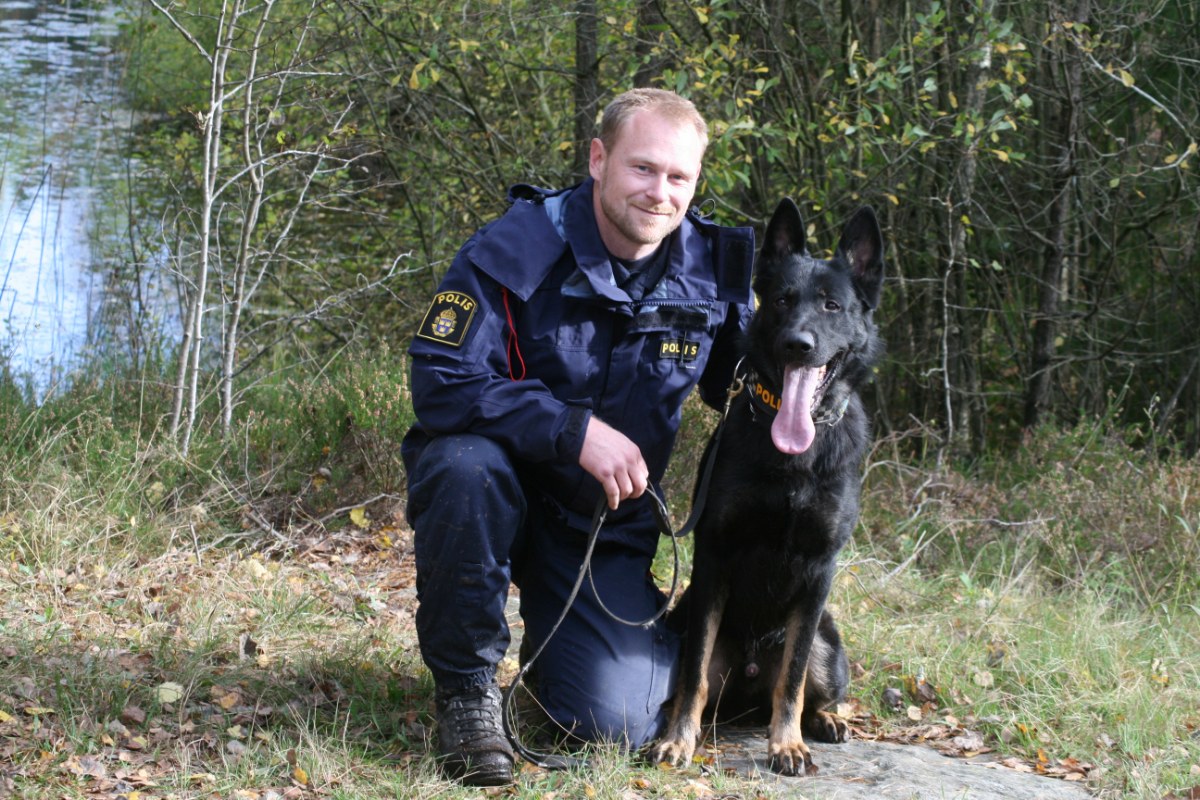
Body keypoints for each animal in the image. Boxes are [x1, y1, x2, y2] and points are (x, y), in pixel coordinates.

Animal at [652, 199, 888, 777]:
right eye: (781, 300)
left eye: (831, 305)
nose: (798, 345)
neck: (794, 457)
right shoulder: (715, 555)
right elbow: (692, 674)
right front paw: (679, 741)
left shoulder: (819, 571)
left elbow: (794, 678)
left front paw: (787, 745)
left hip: (829, 641)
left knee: (807, 685)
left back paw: (825, 721)